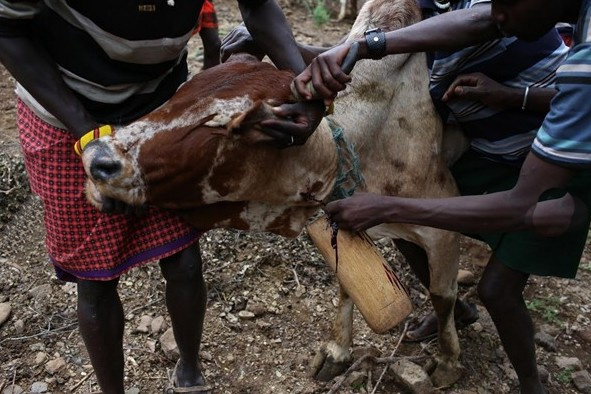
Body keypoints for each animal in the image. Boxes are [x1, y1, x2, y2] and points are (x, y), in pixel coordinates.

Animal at [80, 0, 468, 388]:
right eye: (181, 91)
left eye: (229, 127)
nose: (98, 158)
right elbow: (348, 283)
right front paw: (336, 352)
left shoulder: (442, 225)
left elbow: (441, 293)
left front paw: (448, 362)